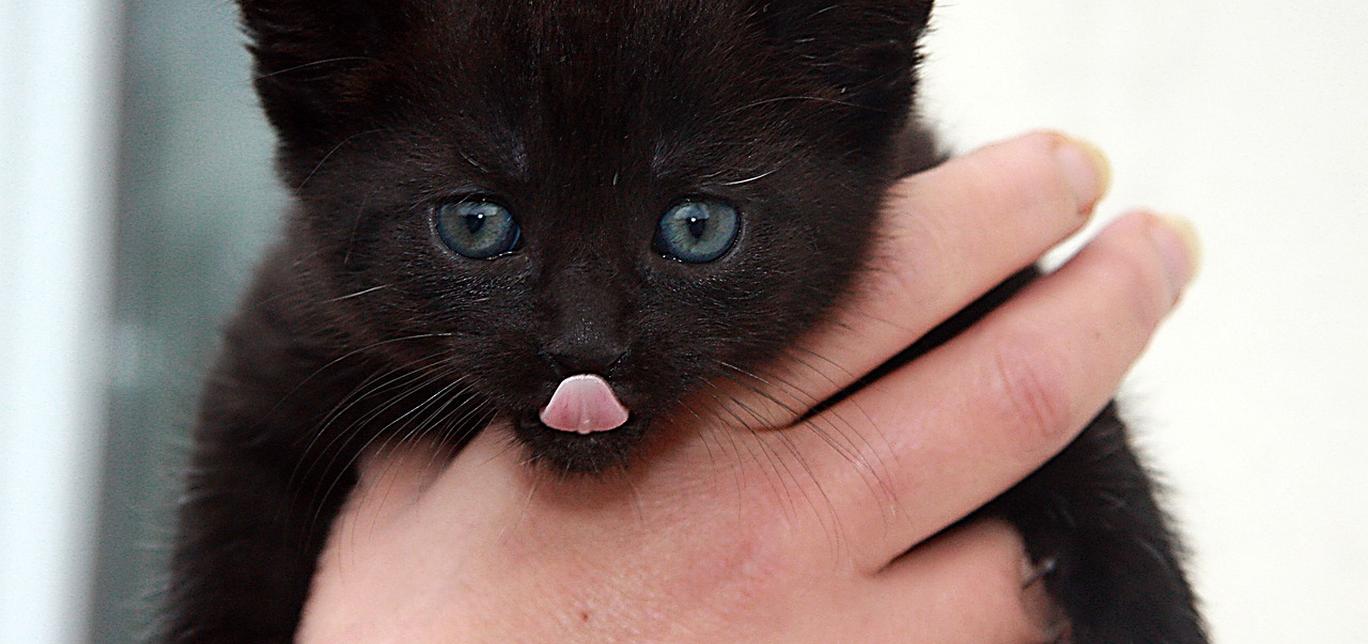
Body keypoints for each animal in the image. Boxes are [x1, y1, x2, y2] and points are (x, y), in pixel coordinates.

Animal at [168, 2, 1209, 642]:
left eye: (697, 227)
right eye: (476, 225)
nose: (584, 347)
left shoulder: (965, 276)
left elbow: (1097, 463)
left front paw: (1149, 611)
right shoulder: (280, 356)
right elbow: (225, 554)